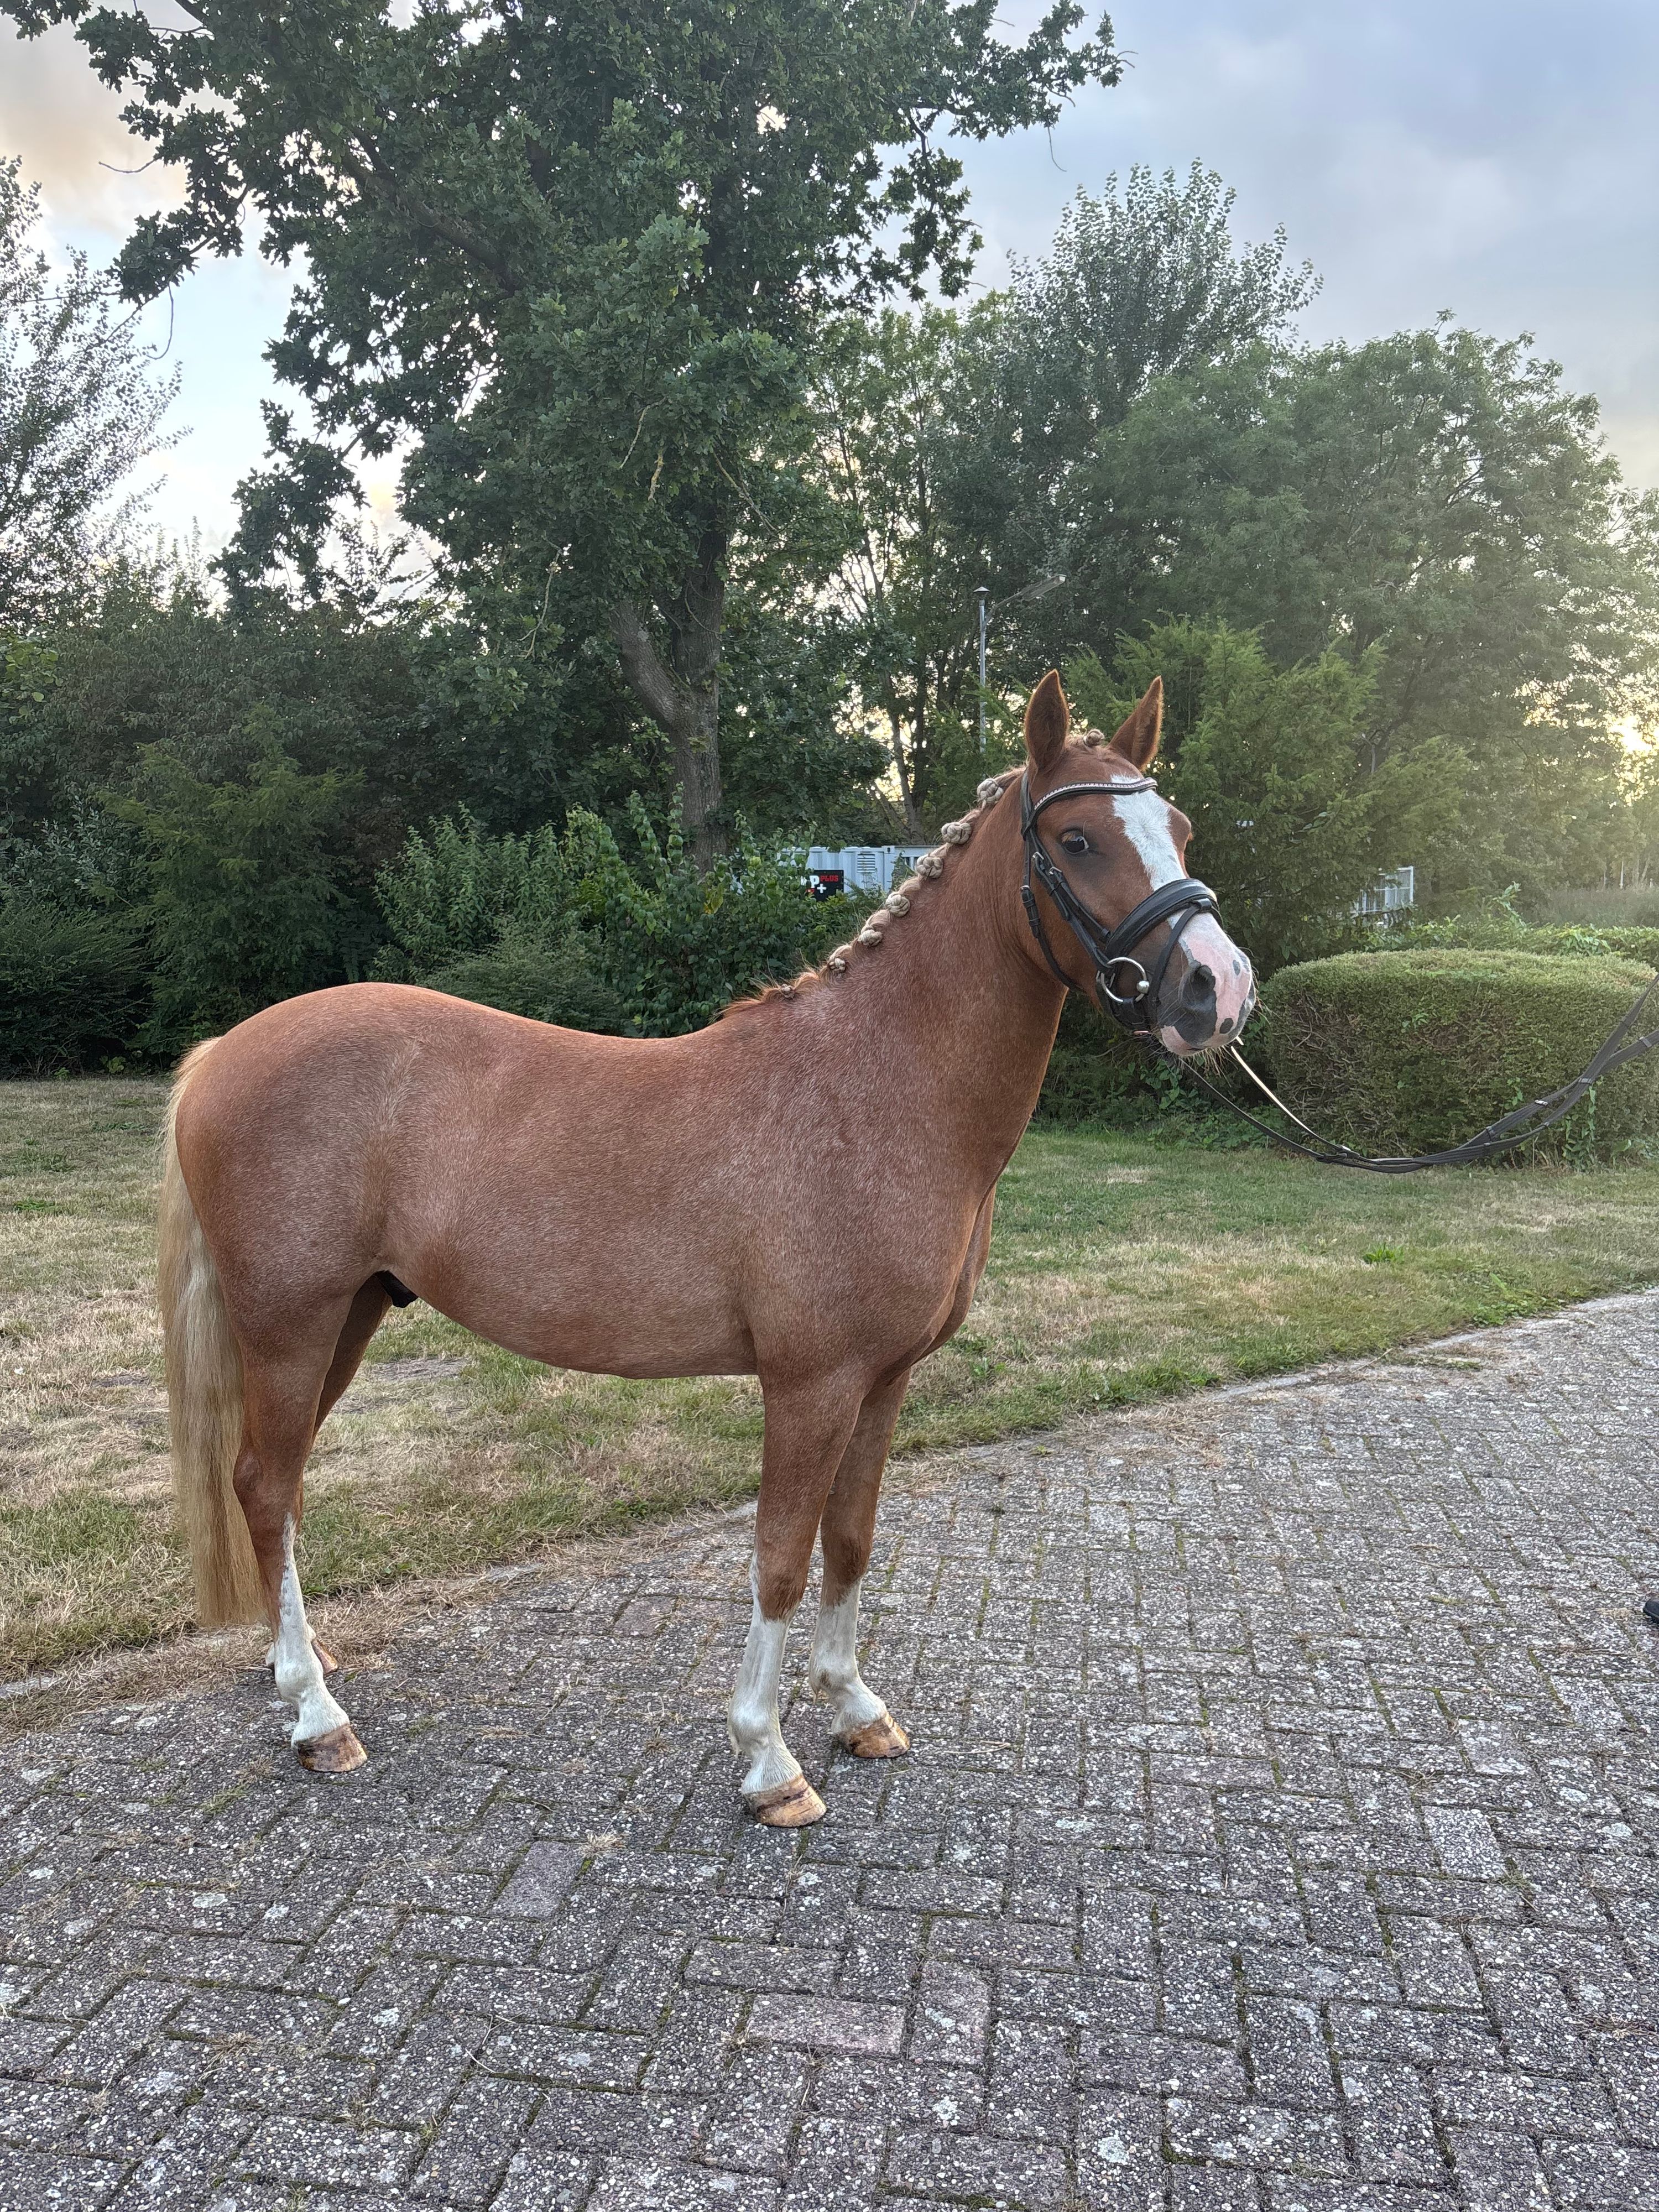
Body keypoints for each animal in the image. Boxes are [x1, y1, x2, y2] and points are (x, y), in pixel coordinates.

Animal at [158, 670, 1253, 1824]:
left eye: (1180, 828)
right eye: (1079, 839)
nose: (1217, 989)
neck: (877, 1088)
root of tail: (223, 1053)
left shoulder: (884, 1378)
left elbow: (851, 1538)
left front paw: (854, 1708)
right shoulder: (810, 1384)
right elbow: (780, 1556)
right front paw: (769, 1762)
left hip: (350, 1316)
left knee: (276, 1490)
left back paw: (305, 1670)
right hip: (290, 1324)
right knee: (264, 1486)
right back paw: (318, 1717)